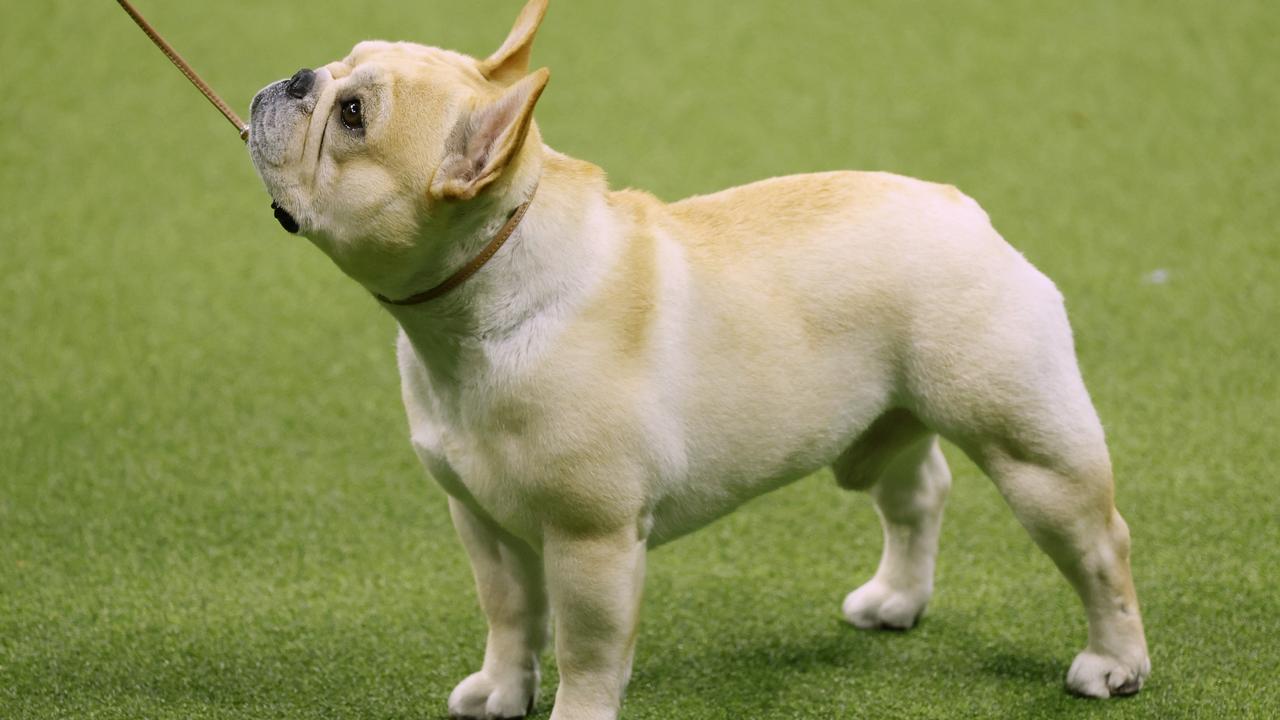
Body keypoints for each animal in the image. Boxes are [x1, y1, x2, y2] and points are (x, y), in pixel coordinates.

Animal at [247, 2, 1152, 712]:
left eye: (353, 115)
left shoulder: (592, 542)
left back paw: (1113, 665)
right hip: (881, 422)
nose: (296, 78)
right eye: (341, 68)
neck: (480, 302)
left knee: (1098, 544)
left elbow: (586, 650)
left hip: (1032, 453)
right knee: (916, 491)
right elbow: (508, 615)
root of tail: (965, 211)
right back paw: (897, 599)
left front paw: (572, 710)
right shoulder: (483, 521)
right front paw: (501, 692)